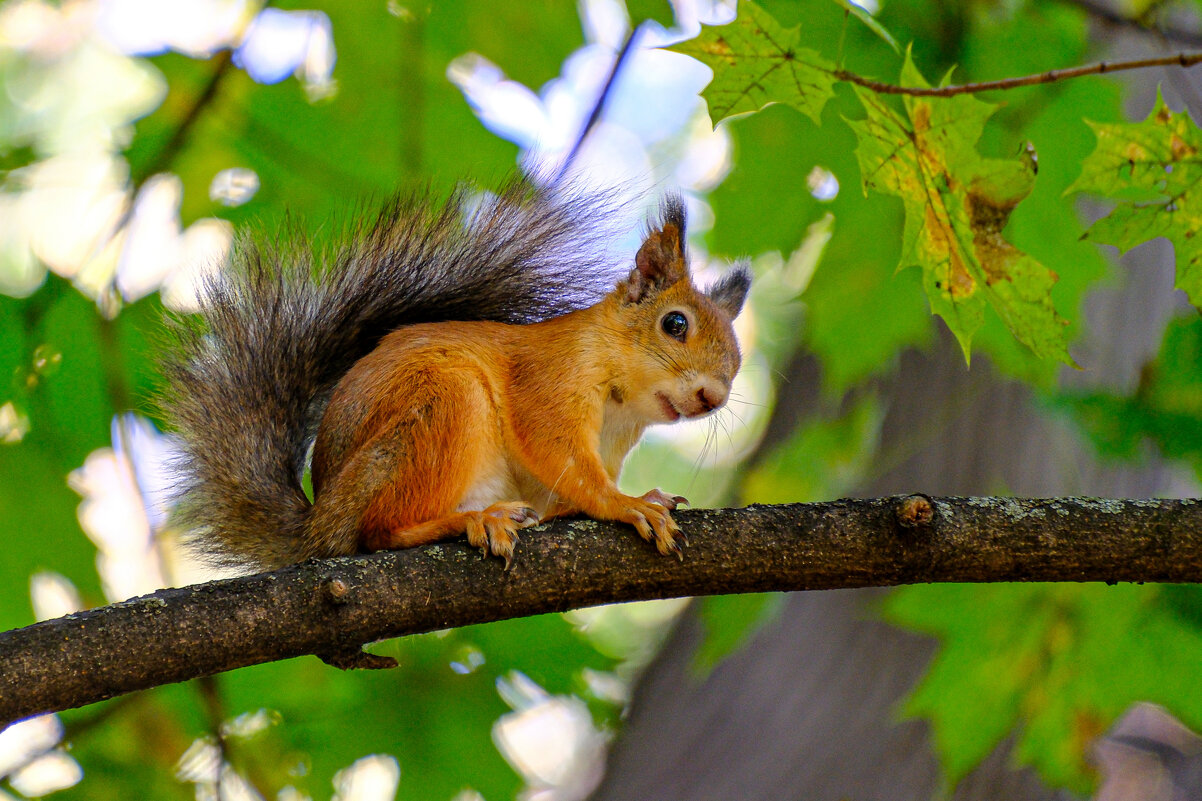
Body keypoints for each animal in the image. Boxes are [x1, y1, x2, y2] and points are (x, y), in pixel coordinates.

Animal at [155, 178, 745, 570]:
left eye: (738, 362)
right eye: (675, 324)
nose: (713, 397)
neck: (623, 402)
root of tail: (319, 524)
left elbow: (563, 498)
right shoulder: (548, 380)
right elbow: (563, 457)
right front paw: (627, 505)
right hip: (443, 405)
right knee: (378, 531)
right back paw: (471, 520)